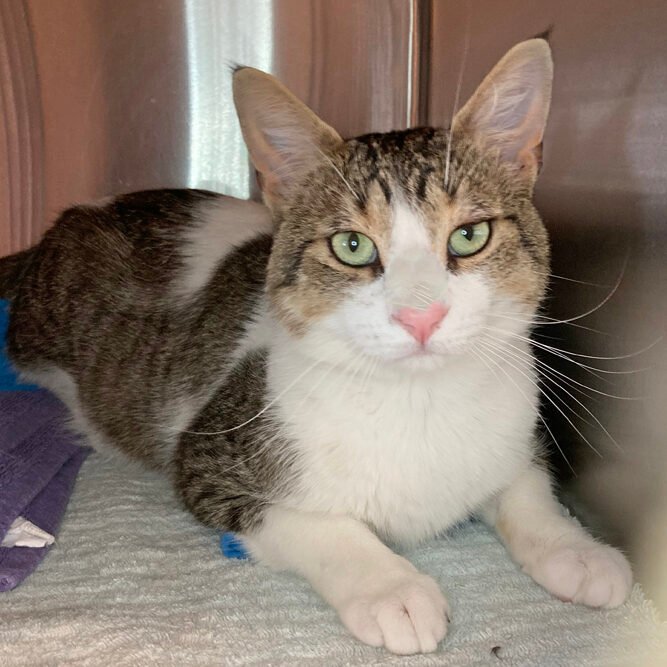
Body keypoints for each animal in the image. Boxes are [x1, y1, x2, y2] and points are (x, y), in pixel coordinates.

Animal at [0, 39, 632, 655]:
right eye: (352, 246)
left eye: (470, 236)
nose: (420, 315)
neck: (418, 402)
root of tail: (74, 218)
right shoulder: (210, 460)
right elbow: (312, 523)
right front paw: (390, 589)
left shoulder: (514, 429)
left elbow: (526, 485)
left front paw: (573, 548)